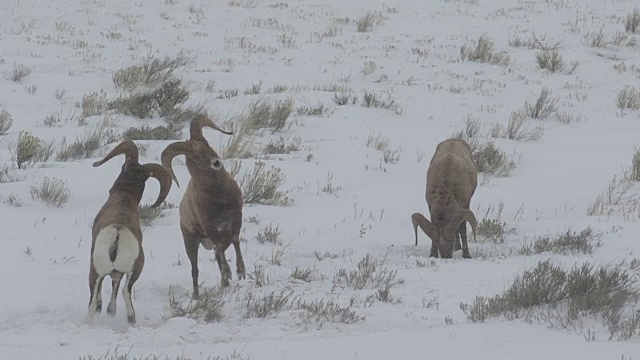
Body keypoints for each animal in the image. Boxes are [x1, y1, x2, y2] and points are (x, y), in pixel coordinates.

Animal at [87, 141, 174, 326]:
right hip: (127, 271)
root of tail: (117, 235)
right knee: (118, 293)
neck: (124, 196)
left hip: (99, 272)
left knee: (105, 296)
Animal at [161, 115, 246, 298]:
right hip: (191, 243)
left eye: (207, 143)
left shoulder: (236, 217)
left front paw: (240, 272)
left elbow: (235, 240)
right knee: (196, 269)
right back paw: (197, 296)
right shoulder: (209, 226)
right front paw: (229, 273)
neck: (218, 195)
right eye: (195, 155)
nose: (216, 163)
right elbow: (220, 248)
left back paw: (224, 283)